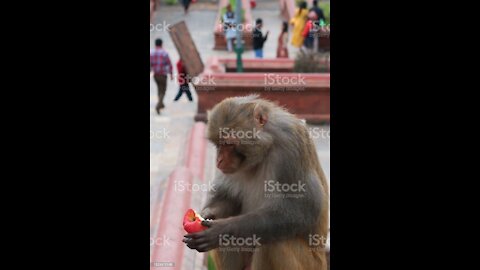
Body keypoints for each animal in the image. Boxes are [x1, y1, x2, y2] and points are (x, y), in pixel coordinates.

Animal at [182, 95, 328, 270]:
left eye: (229, 143)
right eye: (218, 144)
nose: (219, 161)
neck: (265, 149)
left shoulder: (291, 147)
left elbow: (301, 210)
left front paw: (220, 231)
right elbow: (229, 197)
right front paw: (207, 214)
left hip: (312, 264)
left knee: (275, 242)